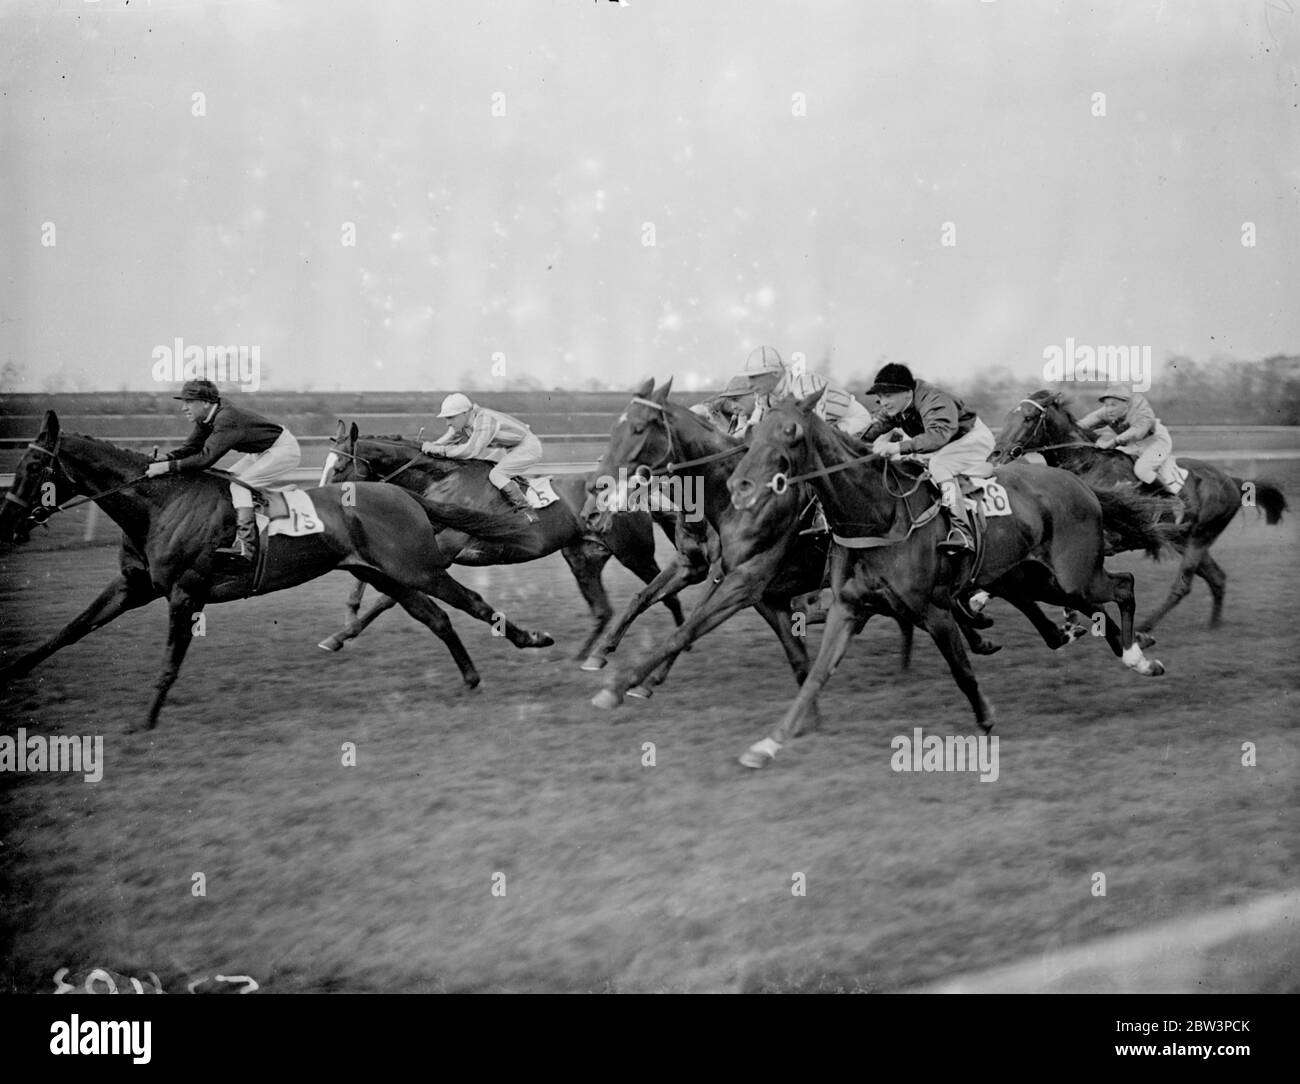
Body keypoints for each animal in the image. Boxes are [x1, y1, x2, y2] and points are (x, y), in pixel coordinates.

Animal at [0, 410, 551, 733]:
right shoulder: (134, 586)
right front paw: (16, 669)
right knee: (437, 618)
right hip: (386, 574)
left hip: (417, 568)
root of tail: (408, 494)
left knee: (471, 603)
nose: (7, 522)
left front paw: (147, 719)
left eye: (34, 469)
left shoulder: (184, 593)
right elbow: (73, 627)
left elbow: (169, 663)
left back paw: (533, 639)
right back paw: (471, 677)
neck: (160, 505)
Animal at [315, 421, 686, 660]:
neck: (440, 482)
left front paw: (339, 634)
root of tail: (633, 489)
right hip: (584, 557)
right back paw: (583, 656)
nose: (320, 504)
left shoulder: (441, 552)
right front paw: (342, 628)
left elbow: (388, 597)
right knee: (603, 609)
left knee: (665, 593)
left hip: (634, 553)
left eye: (339, 467)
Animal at [728, 389, 1175, 769]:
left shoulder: (933, 609)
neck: (878, 514)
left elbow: (962, 669)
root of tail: (1080, 483)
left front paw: (987, 719)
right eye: (757, 429)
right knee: (1091, 605)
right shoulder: (848, 608)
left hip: (1072, 574)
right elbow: (816, 675)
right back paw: (1127, 652)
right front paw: (767, 744)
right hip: (1033, 577)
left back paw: (1136, 655)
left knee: (1123, 585)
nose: (740, 484)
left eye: (791, 431)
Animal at [993, 392, 1279, 636]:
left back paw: (1145, 627)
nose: (997, 453)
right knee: (1216, 577)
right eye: (1007, 416)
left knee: (1183, 585)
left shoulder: (1111, 539)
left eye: (1029, 418)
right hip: (1183, 540)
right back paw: (1213, 625)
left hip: (1200, 537)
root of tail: (1232, 480)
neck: (1086, 465)